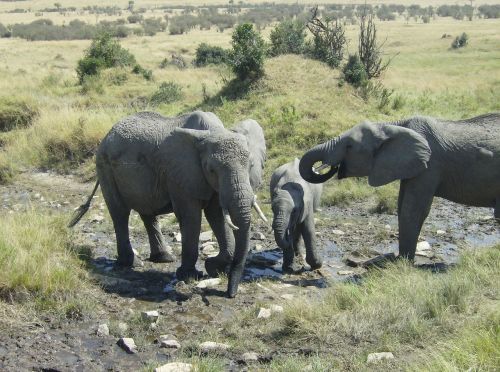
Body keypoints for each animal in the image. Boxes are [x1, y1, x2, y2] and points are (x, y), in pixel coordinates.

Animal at [69, 109, 270, 296]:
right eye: (212, 169)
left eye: (251, 166)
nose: (230, 294)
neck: (213, 130)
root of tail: (107, 135)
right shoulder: (181, 174)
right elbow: (191, 216)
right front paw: (189, 275)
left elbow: (216, 216)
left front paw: (214, 268)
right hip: (105, 167)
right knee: (120, 213)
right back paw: (131, 263)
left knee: (147, 213)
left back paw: (164, 258)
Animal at [298, 113, 500, 258]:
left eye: (349, 146)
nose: (329, 166)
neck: (393, 125)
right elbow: (402, 206)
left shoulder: (430, 166)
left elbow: (413, 210)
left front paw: (403, 263)